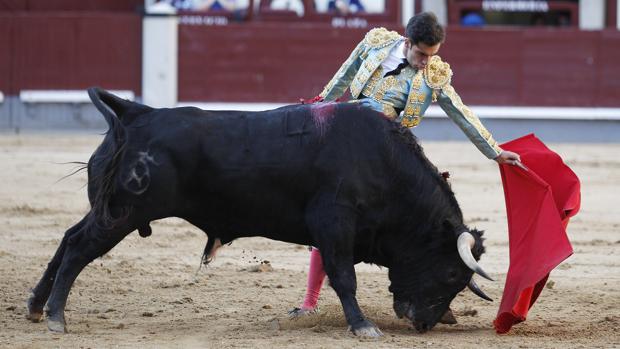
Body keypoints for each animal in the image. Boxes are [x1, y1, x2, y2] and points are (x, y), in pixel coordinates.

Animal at [27, 87, 494, 334]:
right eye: (450, 274)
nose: (425, 323)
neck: (383, 164)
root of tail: (134, 115)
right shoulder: (334, 223)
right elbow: (344, 276)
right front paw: (363, 325)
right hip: (122, 214)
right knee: (78, 249)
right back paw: (56, 318)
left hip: (108, 210)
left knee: (68, 238)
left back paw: (35, 306)